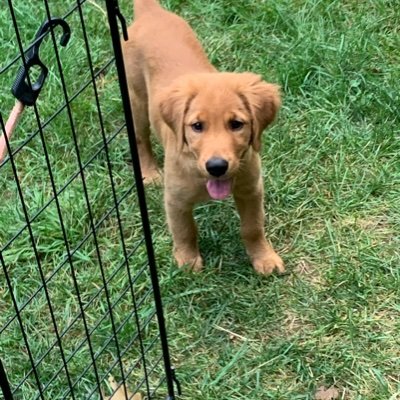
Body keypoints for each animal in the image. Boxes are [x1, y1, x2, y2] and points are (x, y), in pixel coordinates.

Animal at [122, 0, 284, 276]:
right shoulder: (175, 199)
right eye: (197, 126)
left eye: (236, 124)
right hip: (136, 100)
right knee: (141, 138)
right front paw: (187, 263)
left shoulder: (252, 189)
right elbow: (184, 231)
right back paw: (150, 172)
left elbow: (253, 228)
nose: (217, 166)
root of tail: (151, 11)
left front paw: (264, 258)